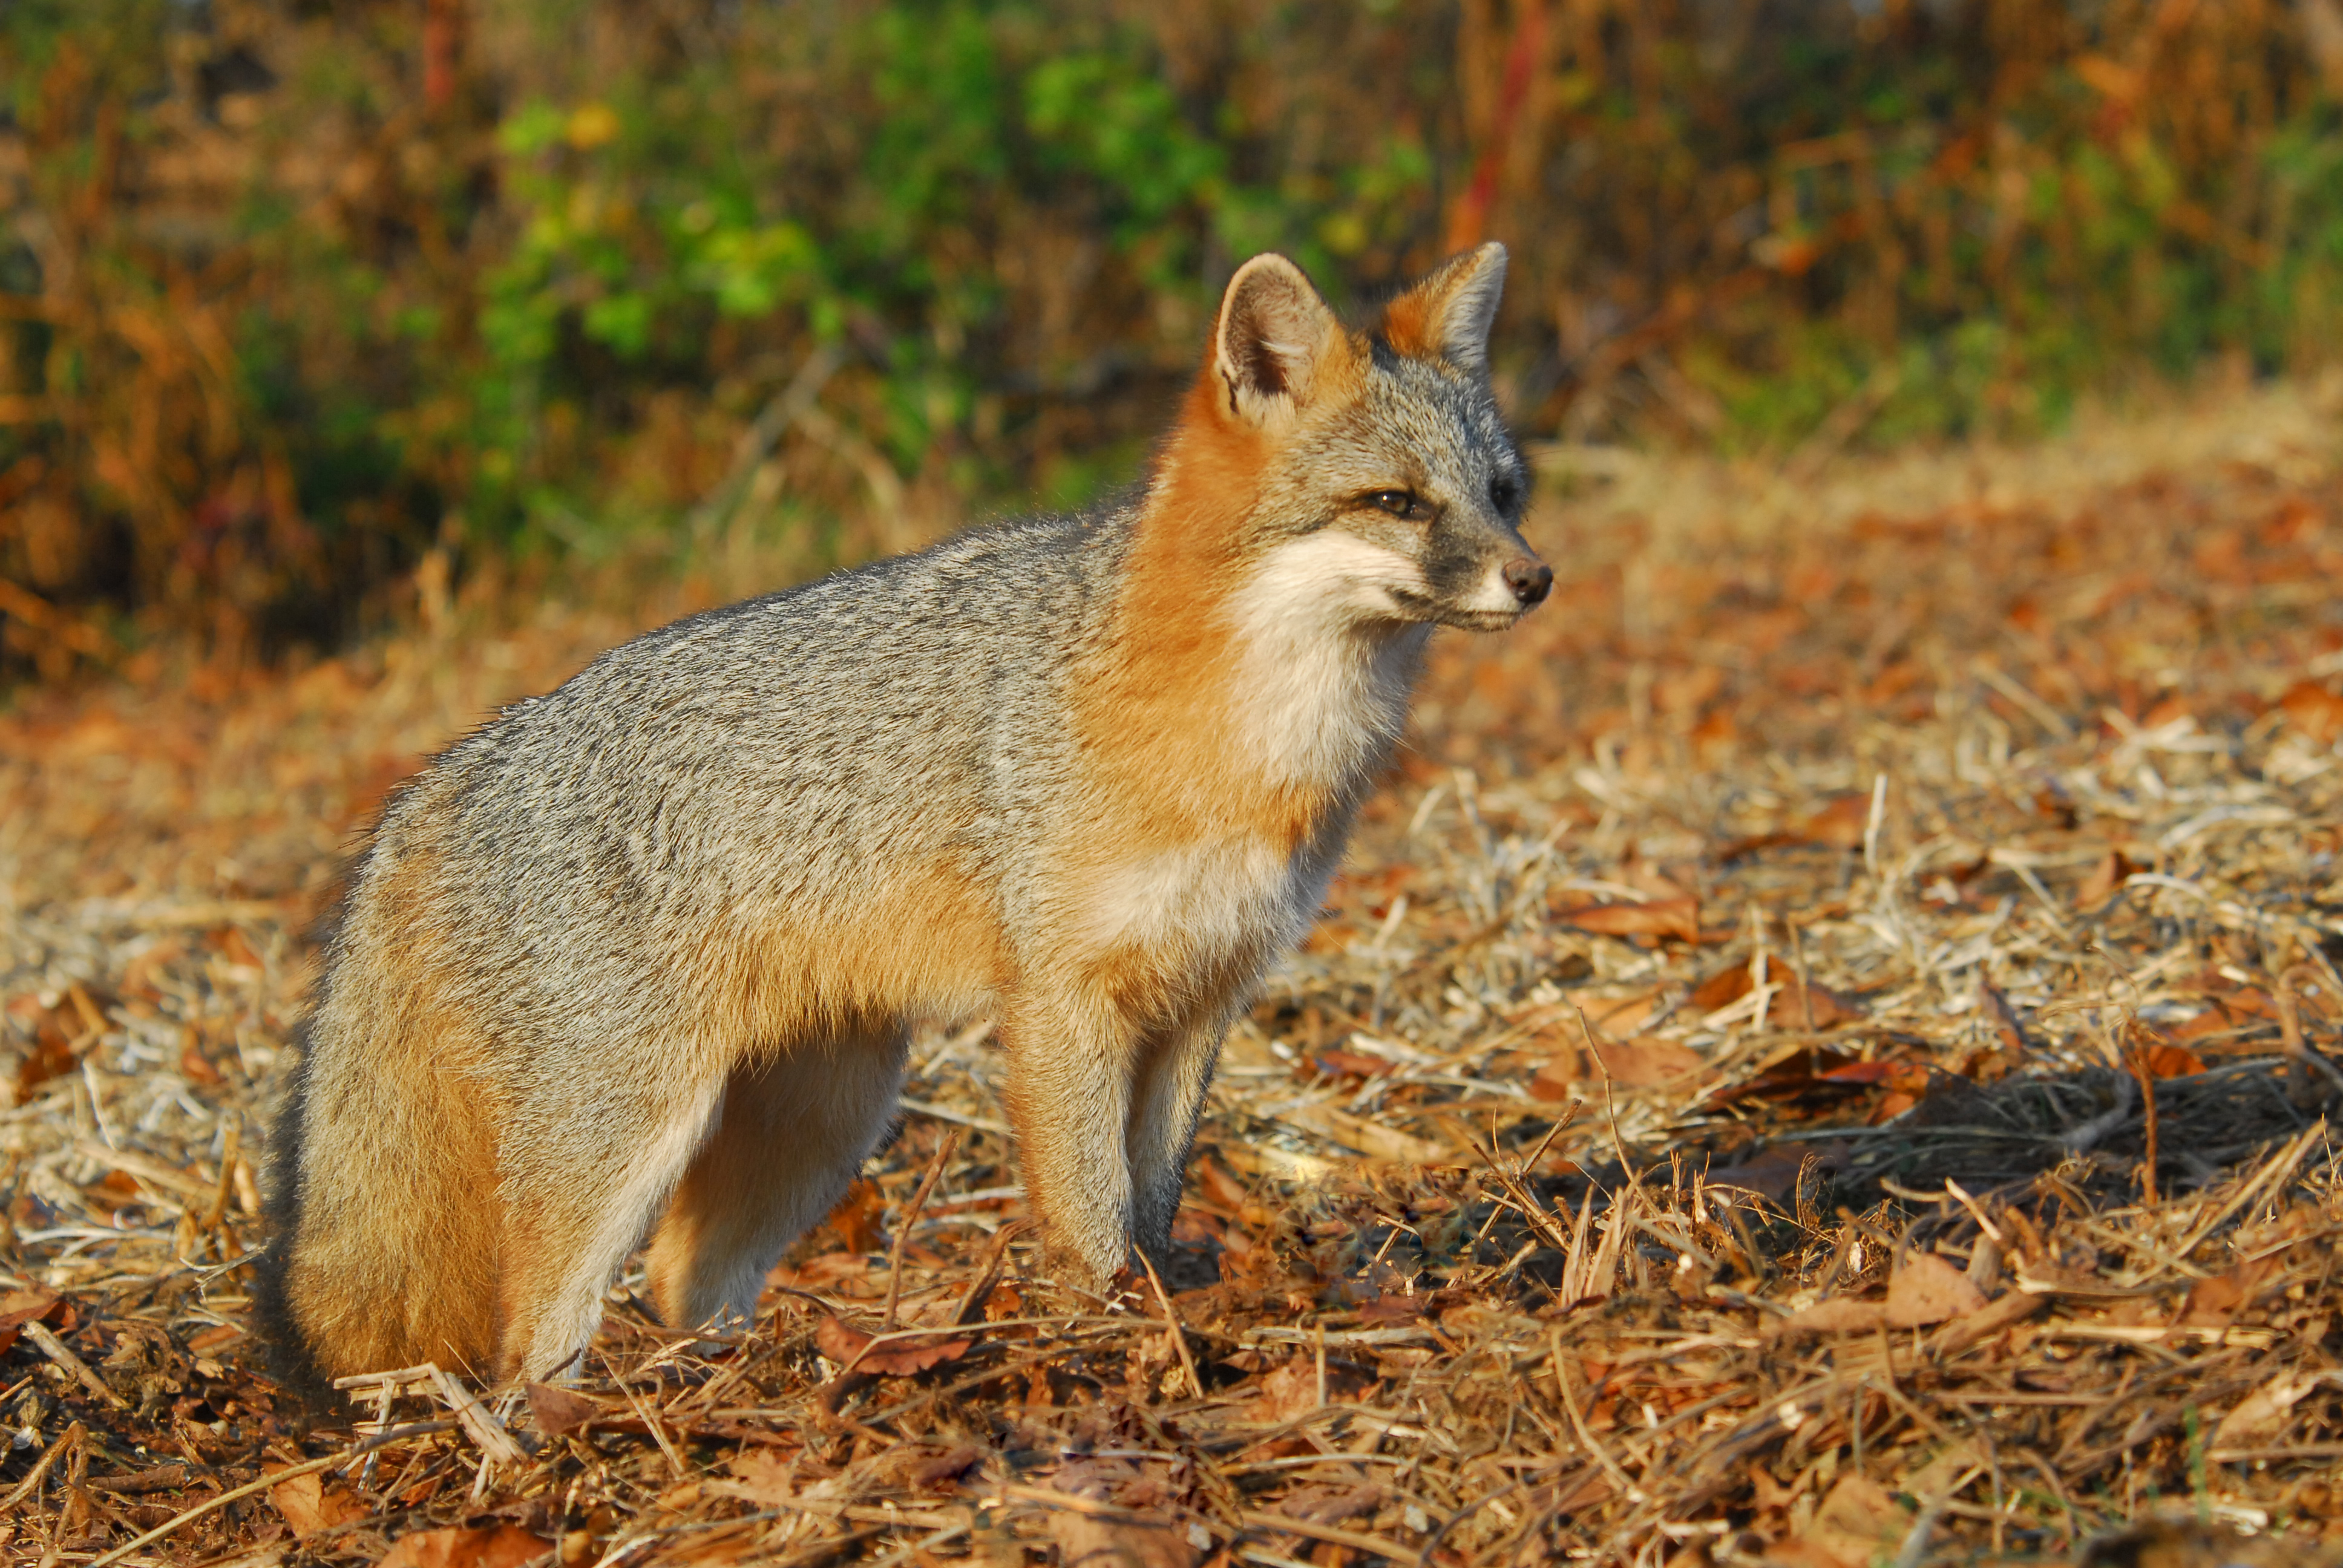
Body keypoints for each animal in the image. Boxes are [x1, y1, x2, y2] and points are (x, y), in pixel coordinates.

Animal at [261, 241, 1556, 1378]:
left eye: (1501, 493)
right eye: (1394, 502)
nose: (1534, 576)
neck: (1247, 739)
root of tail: (454, 763)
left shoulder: (1201, 1000)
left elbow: (1152, 1202)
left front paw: (1159, 1317)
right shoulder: (1062, 1002)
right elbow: (1091, 1214)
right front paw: (1109, 1342)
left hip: (824, 1117)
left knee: (684, 1281)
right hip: (628, 1136)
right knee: (530, 1333)